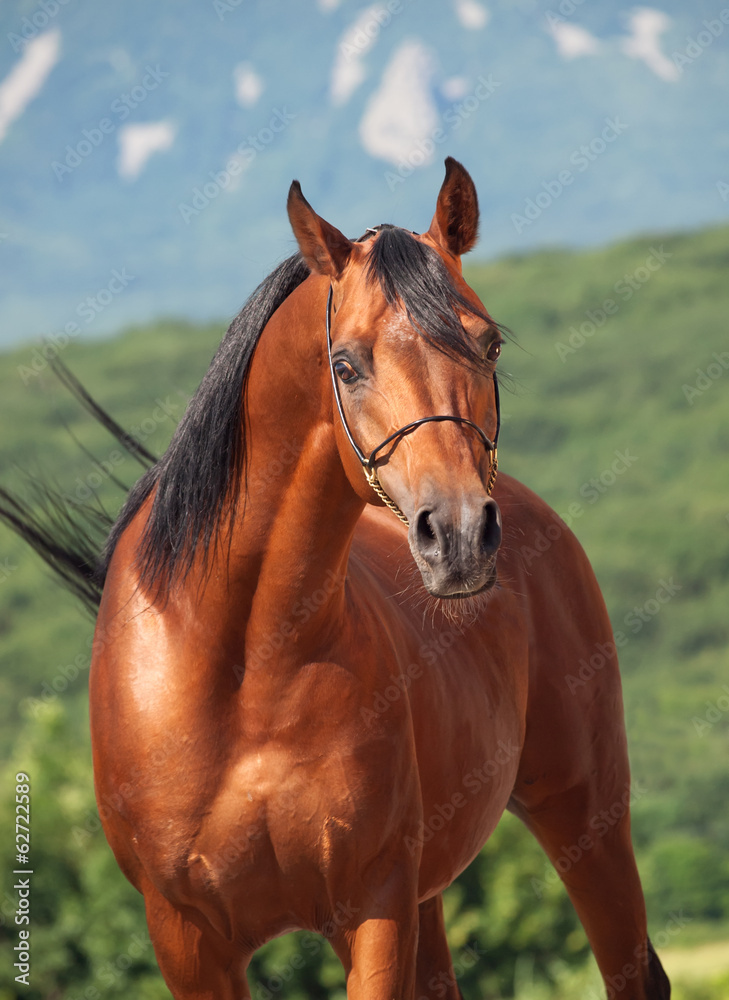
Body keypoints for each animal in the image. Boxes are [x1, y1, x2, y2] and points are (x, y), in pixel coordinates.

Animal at [1, 158, 670, 1000]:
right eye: (346, 364)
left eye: (487, 345)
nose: (459, 538)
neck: (242, 667)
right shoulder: (188, 938)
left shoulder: (373, 906)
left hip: (583, 815)